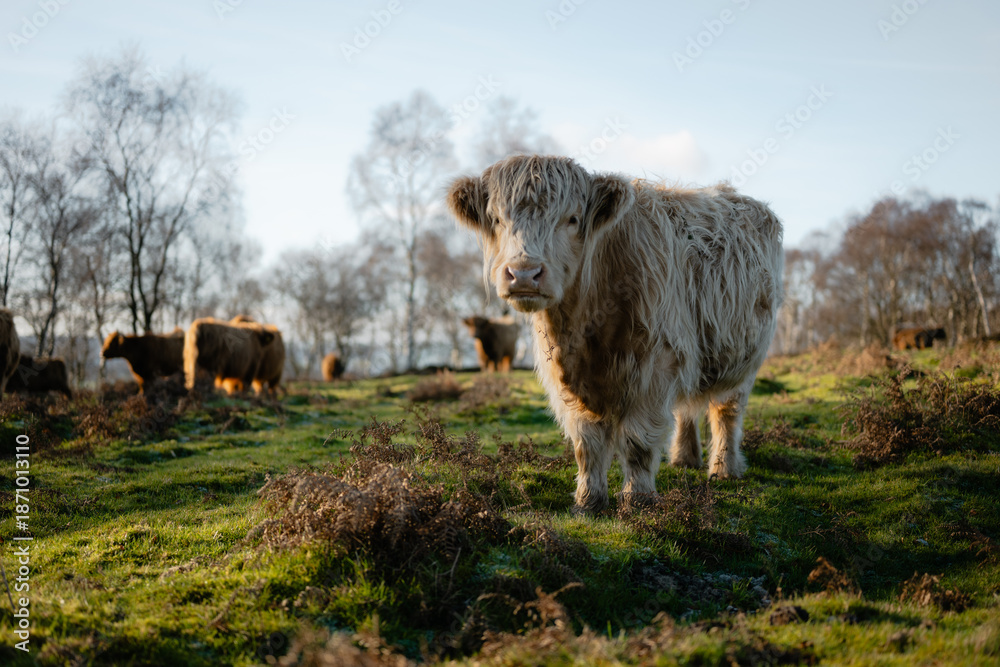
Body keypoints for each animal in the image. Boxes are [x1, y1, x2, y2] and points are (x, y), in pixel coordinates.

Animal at [447, 155, 783, 514]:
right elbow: (587, 444)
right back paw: (684, 458)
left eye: (572, 219)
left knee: (727, 412)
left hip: (744, 359)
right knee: (685, 410)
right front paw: (588, 501)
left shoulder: (655, 366)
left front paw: (638, 500)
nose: (524, 273)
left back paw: (724, 469)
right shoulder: (572, 383)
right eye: (497, 219)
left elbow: (638, 441)